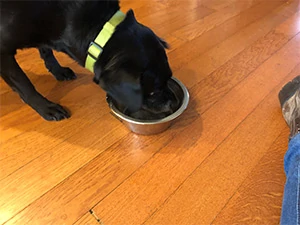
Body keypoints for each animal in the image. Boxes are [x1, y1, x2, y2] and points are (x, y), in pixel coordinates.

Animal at [0, 0, 172, 121]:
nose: (171, 103)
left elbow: (46, 51)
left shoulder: (44, 34)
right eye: (153, 92)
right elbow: (25, 85)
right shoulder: (3, 53)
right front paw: (45, 107)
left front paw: (58, 71)